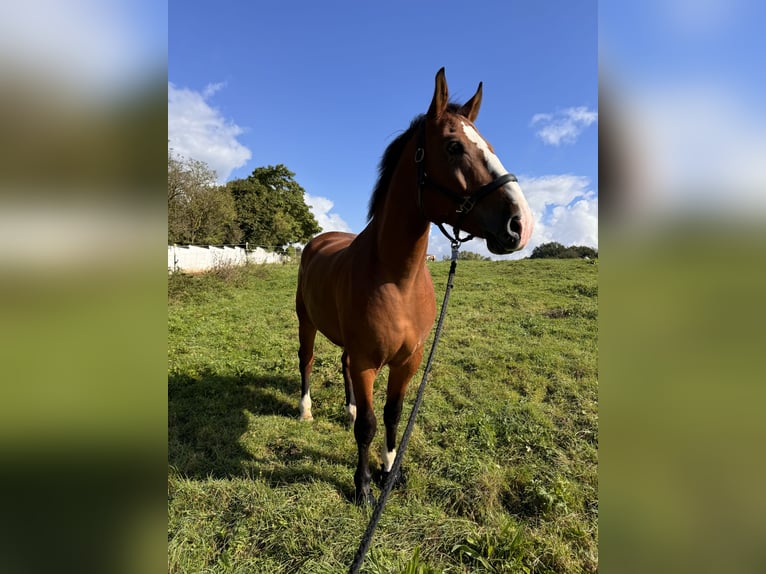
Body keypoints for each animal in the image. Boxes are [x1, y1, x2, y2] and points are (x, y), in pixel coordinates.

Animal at [294, 70, 536, 506]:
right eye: (454, 147)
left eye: (490, 147)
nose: (520, 224)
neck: (396, 278)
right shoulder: (368, 361)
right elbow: (369, 425)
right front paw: (363, 487)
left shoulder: (408, 360)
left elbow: (392, 414)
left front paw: (389, 470)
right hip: (307, 322)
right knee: (306, 360)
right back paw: (305, 410)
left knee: (342, 365)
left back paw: (348, 409)